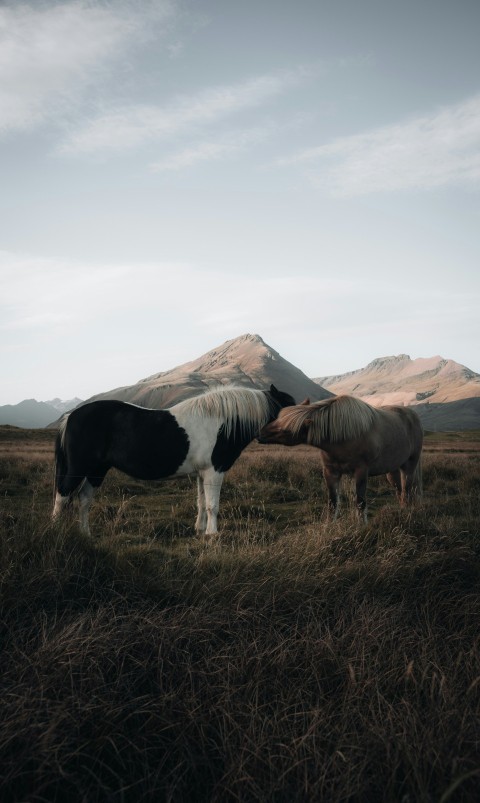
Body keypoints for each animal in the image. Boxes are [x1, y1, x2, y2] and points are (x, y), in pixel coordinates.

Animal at [52, 384, 295, 536]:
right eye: (287, 407)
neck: (222, 422)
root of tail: (71, 416)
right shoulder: (214, 471)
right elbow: (212, 505)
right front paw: (213, 534)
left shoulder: (202, 473)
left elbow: (201, 502)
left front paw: (200, 530)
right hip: (78, 468)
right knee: (62, 496)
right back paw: (56, 533)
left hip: (97, 470)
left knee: (84, 499)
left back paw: (86, 534)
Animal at [258, 395, 423, 521]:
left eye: (286, 430)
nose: (260, 433)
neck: (344, 436)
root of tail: (412, 415)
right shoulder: (330, 472)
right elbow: (332, 503)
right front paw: (329, 526)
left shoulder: (361, 471)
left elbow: (360, 502)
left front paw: (361, 526)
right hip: (392, 471)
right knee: (400, 491)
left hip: (409, 466)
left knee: (407, 491)